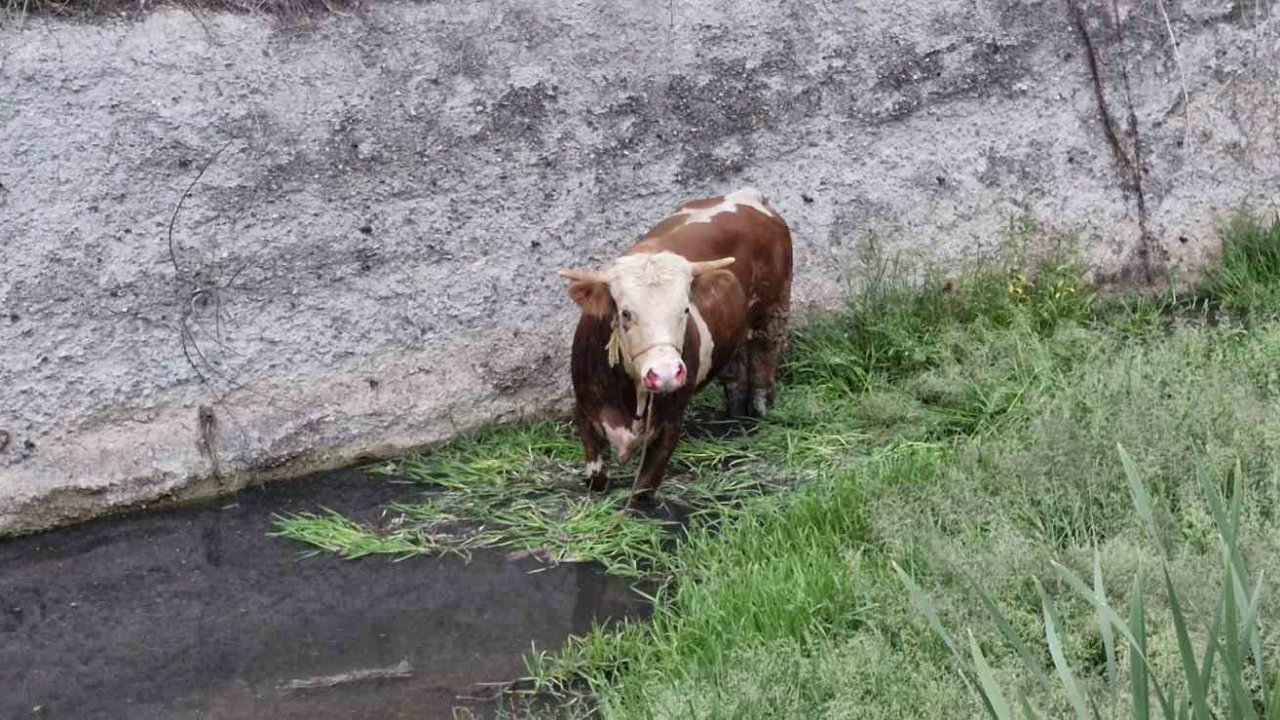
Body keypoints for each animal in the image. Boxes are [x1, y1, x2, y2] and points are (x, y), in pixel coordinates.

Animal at [558, 188, 788, 507]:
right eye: (626, 313)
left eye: (685, 310)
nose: (665, 374)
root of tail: (745, 195)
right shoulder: (586, 414)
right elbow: (597, 479)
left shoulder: (669, 423)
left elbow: (642, 491)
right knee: (735, 369)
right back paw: (734, 417)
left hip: (774, 309)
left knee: (765, 356)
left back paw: (761, 408)